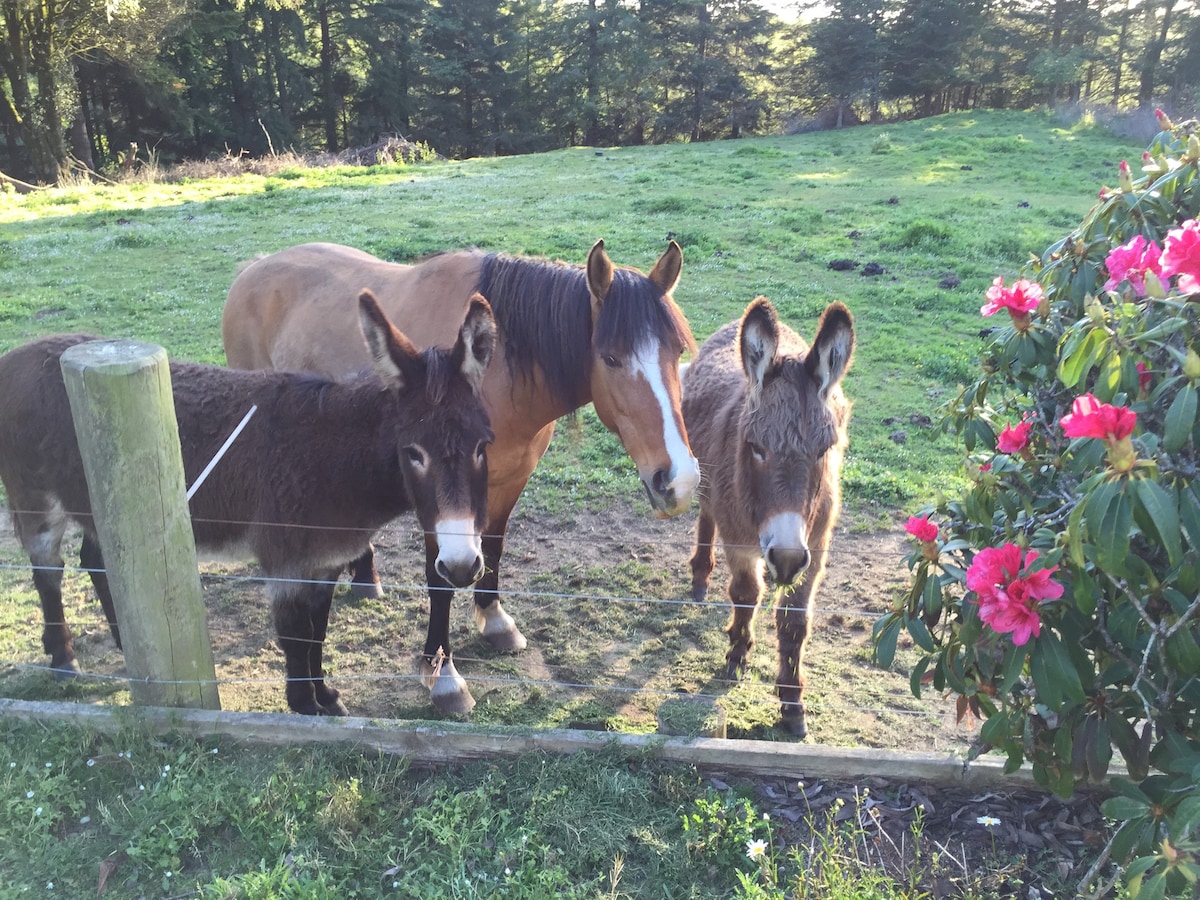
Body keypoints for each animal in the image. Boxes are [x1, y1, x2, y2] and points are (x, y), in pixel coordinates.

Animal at [0, 296, 496, 720]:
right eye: (413, 453)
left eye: (482, 447)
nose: (461, 566)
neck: (331, 456)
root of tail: (16, 355)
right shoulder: (285, 561)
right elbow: (295, 635)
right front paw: (304, 705)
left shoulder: (326, 561)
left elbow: (317, 630)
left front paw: (326, 696)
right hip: (35, 498)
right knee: (48, 571)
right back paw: (63, 658)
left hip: (99, 500)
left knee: (97, 559)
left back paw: (126, 641)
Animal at [223, 241, 700, 720]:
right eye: (611, 358)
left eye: (678, 351)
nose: (678, 481)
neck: (496, 371)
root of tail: (255, 268)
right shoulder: (435, 493)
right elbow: (441, 579)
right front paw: (444, 676)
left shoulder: (507, 482)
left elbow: (493, 549)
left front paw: (495, 621)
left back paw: (364, 574)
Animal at [686, 296, 854, 739]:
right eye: (756, 448)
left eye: (823, 451)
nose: (787, 558)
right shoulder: (741, 541)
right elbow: (746, 594)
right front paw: (737, 655)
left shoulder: (816, 544)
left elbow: (795, 621)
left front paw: (793, 704)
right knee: (706, 512)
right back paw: (700, 577)